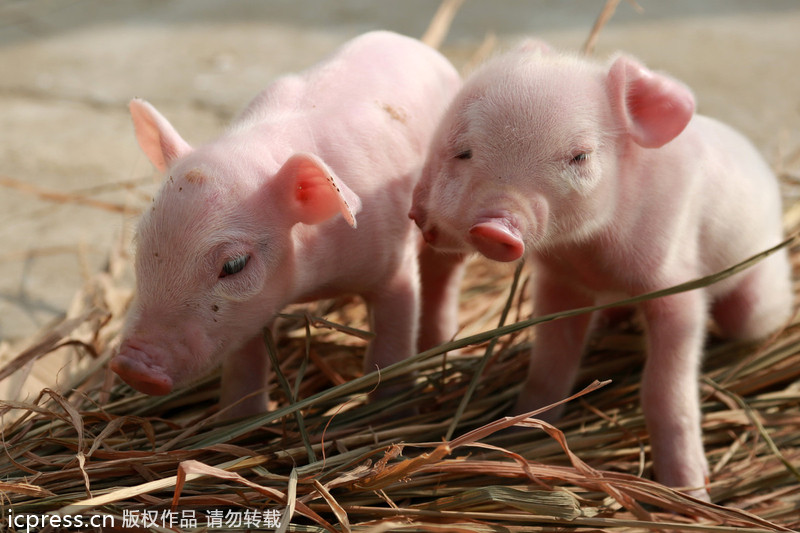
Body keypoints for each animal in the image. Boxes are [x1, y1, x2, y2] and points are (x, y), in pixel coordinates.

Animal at [111, 31, 464, 417]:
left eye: (234, 264)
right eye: (141, 243)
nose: (132, 366)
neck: (316, 283)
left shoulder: (394, 263)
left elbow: (394, 340)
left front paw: (392, 410)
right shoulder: (250, 312)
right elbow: (246, 359)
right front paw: (240, 418)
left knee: (443, 276)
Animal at [410, 42, 792, 500]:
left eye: (580, 156)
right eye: (463, 151)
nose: (492, 227)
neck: (589, 254)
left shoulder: (677, 283)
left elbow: (665, 389)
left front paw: (689, 491)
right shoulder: (560, 285)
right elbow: (550, 365)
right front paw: (516, 433)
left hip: (756, 298)